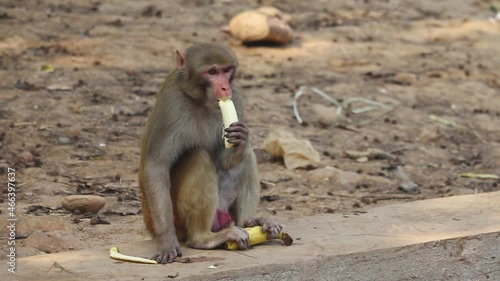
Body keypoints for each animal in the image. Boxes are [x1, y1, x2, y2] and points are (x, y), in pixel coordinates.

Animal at [138, 43, 282, 262]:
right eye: (212, 72)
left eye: (226, 70)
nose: (224, 87)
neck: (200, 101)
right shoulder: (171, 104)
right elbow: (156, 166)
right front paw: (166, 242)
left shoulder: (236, 97)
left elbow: (226, 161)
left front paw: (241, 138)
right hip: (178, 220)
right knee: (198, 156)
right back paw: (203, 238)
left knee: (248, 156)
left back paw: (249, 221)